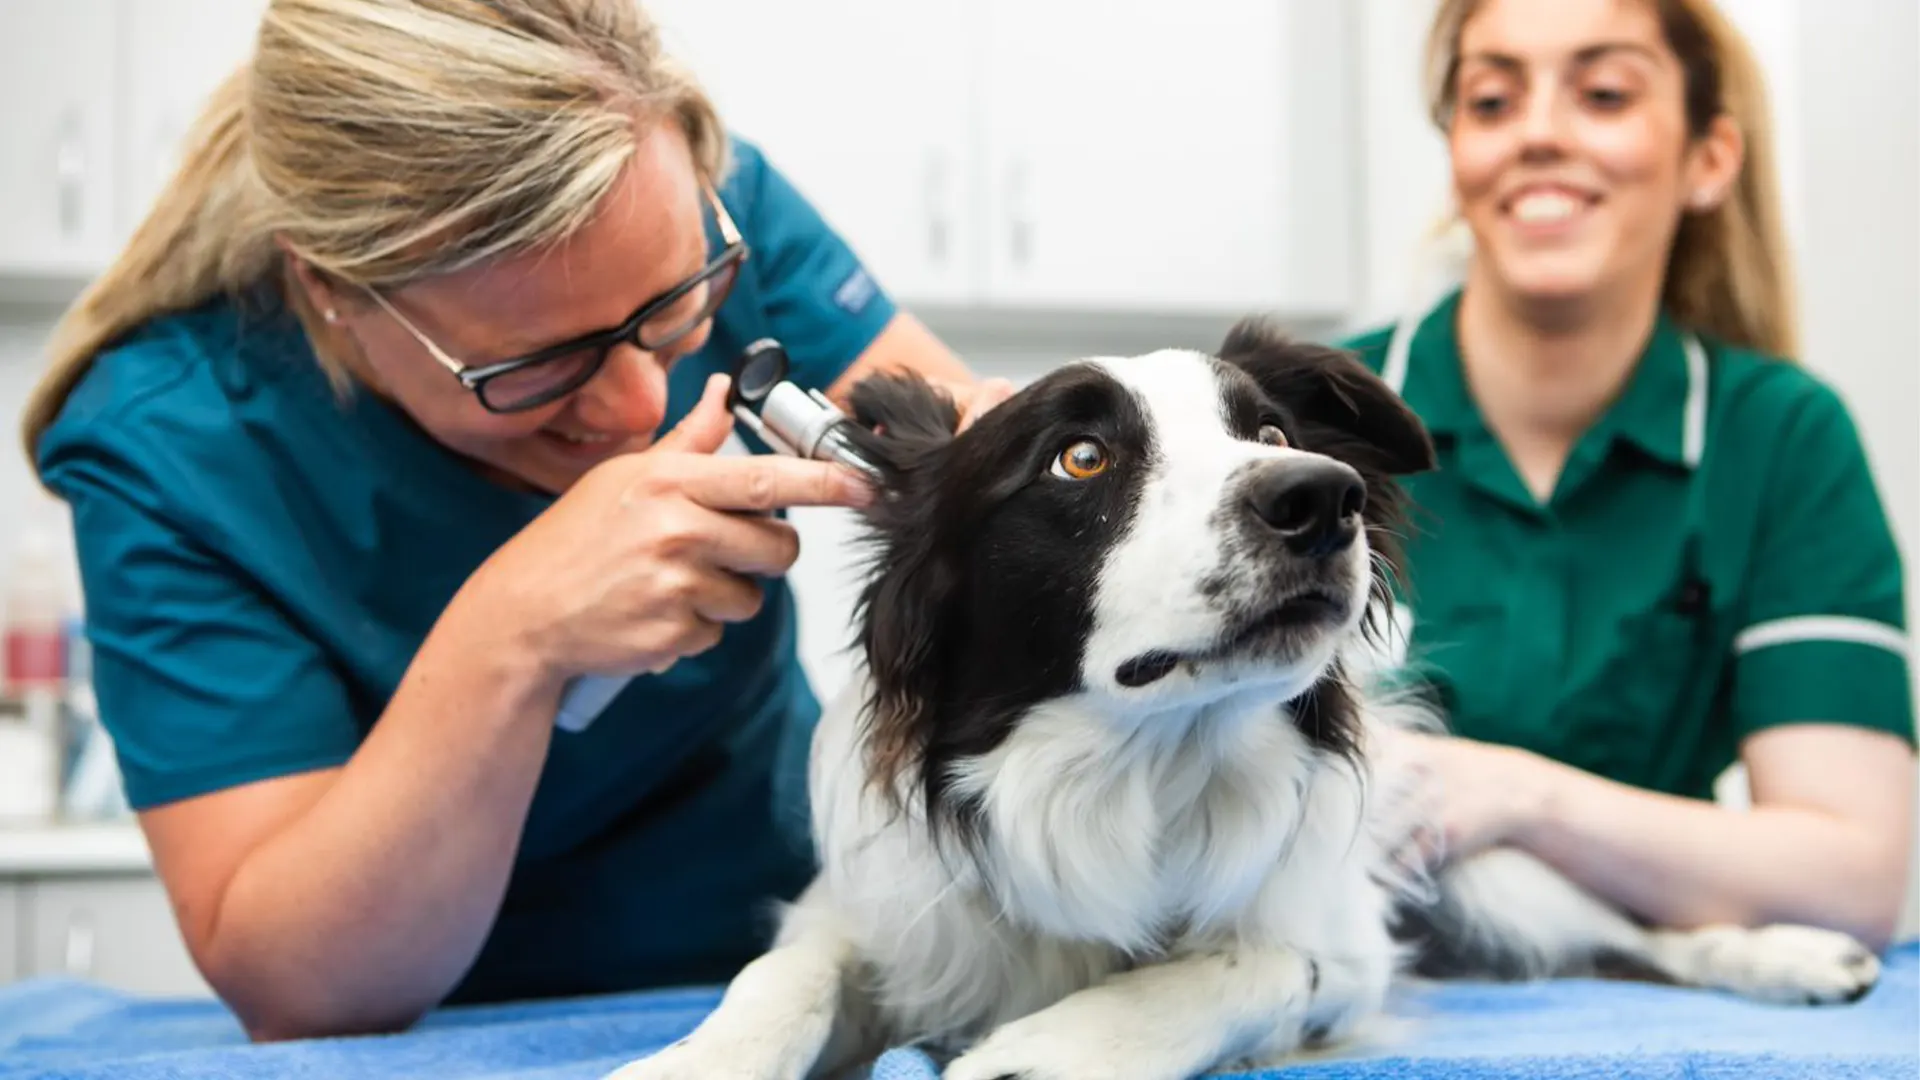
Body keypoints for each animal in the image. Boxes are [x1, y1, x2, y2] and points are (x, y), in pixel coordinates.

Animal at [610, 319, 1873, 1076]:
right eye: (1080, 458)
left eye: (1266, 430)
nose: (1325, 495)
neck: (1132, 771)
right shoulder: (886, 910)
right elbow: (784, 973)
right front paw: (696, 1061)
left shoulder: (1339, 943)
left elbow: (1248, 962)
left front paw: (1059, 1049)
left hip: (1497, 873)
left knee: (1645, 933)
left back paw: (1800, 958)